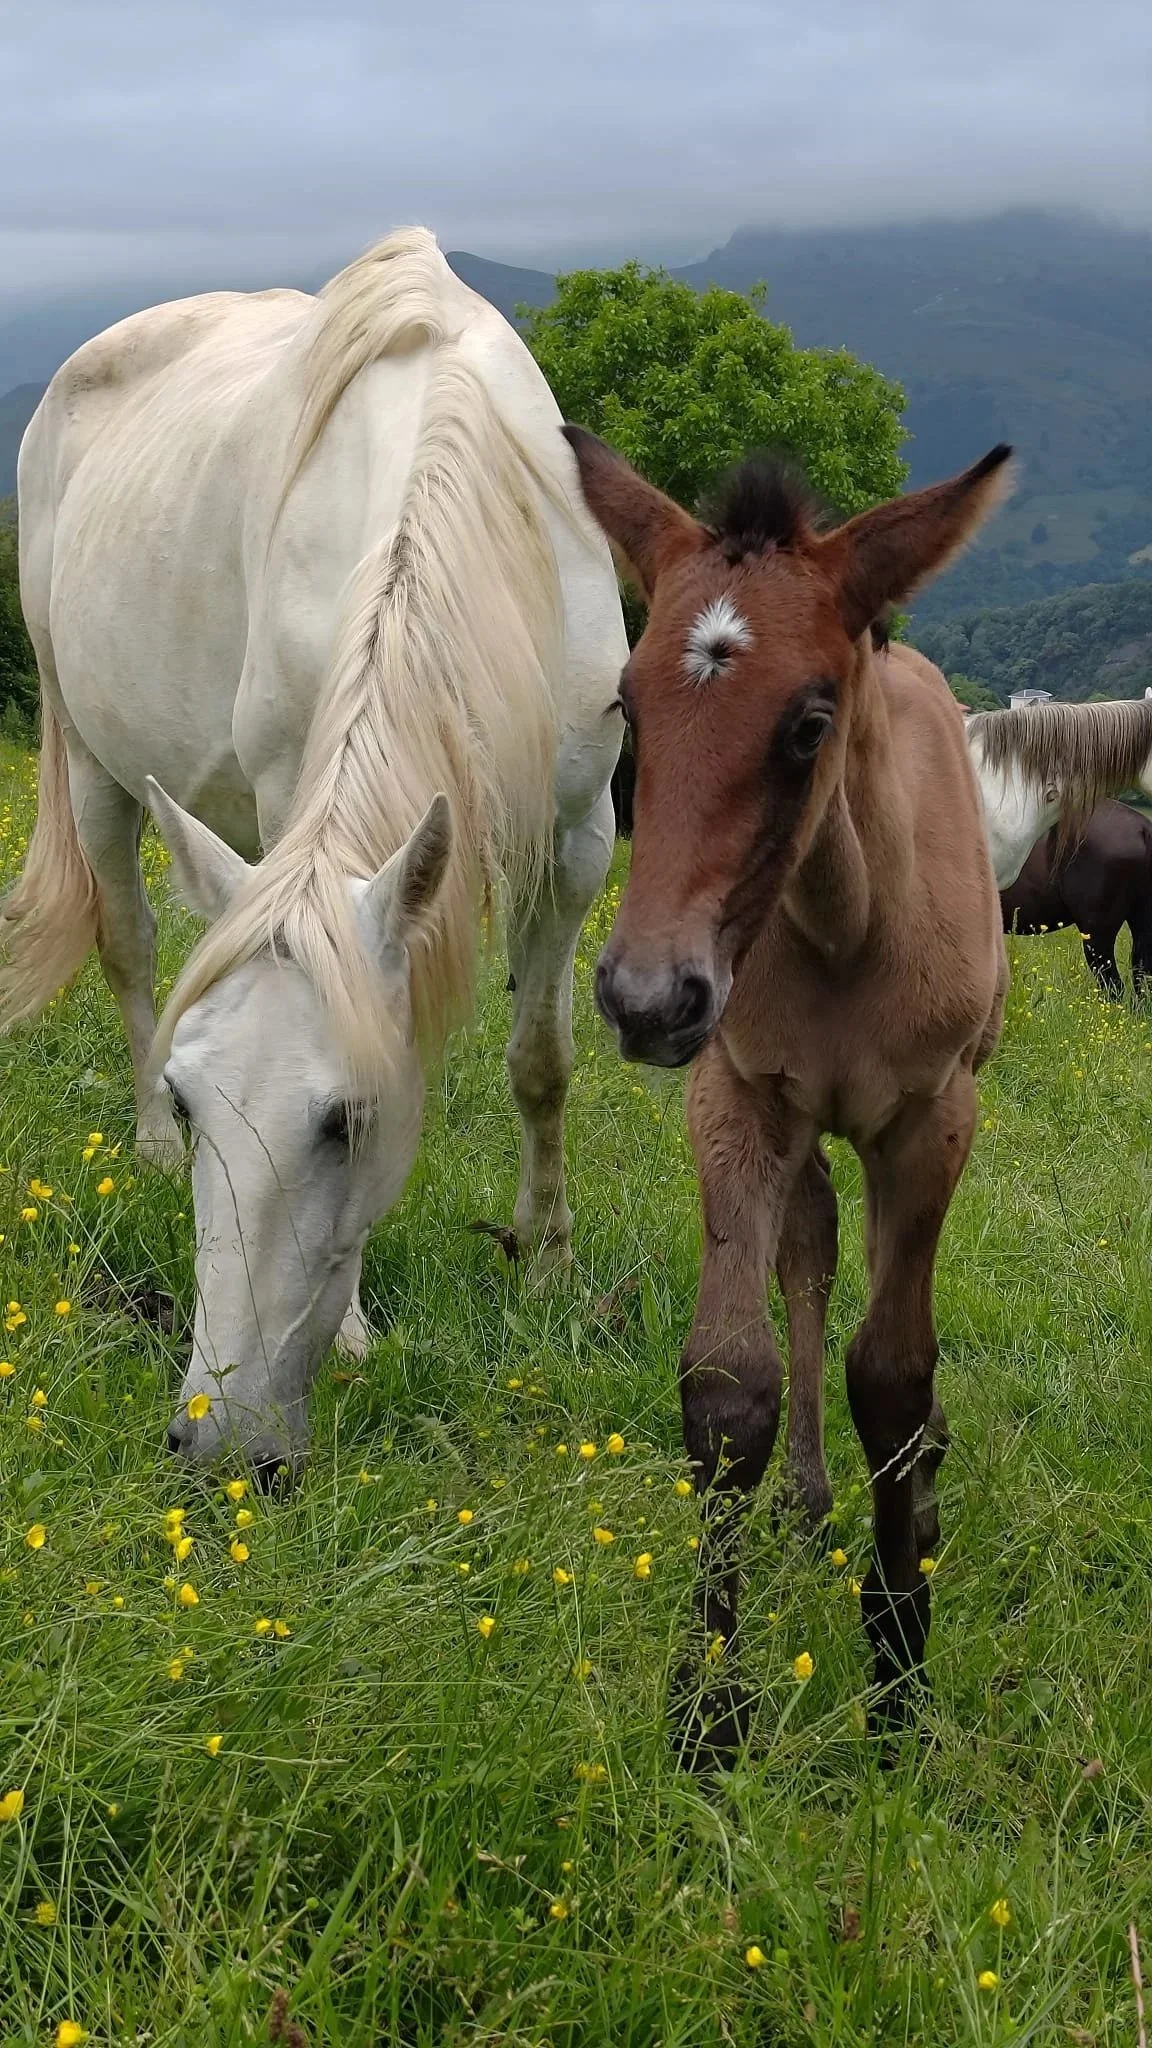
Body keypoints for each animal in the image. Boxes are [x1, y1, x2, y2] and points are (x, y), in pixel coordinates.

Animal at [4, 227, 627, 1479]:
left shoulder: (579, 838)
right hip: (92, 763)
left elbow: (542, 1062)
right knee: (129, 944)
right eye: (198, 1103)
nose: (217, 1439)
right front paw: (349, 1334)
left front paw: (547, 1261)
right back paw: (143, 1148)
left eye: (349, 1120)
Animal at [565, 426, 1011, 1751]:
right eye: (628, 704)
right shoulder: (738, 1096)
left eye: (809, 723)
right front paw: (711, 1710)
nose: (646, 997)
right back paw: (813, 1501)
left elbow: (896, 1373)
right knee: (809, 1248)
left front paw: (901, 1667)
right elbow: (730, 1381)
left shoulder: (932, 1121)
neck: (845, 925)